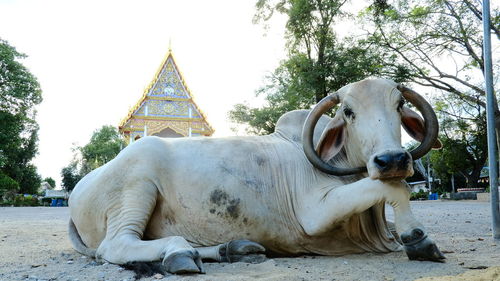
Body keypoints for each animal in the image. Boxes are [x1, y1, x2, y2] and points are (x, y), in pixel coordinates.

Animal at [69, 78, 446, 274]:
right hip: (137, 184)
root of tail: (78, 190)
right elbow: (395, 188)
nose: (392, 159)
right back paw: (179, 253)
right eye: (348, 112)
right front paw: (417, 238)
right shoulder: (313, 214)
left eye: (399, 105)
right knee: (116, 245)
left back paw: (231, 249)